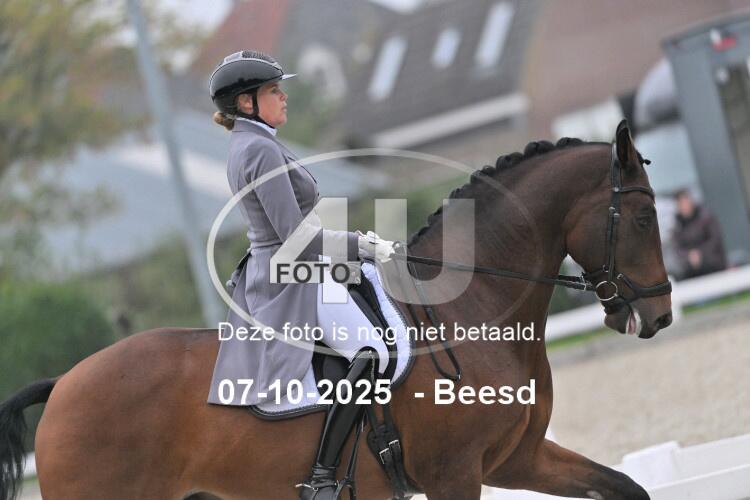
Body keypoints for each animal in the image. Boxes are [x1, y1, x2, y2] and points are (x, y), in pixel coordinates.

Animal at [0, 122, 672, 499]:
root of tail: (64, 384)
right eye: (644, 217)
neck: (474, 307)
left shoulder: (517, 460)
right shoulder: (454, 475)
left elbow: (627, 489)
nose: (660, 316)